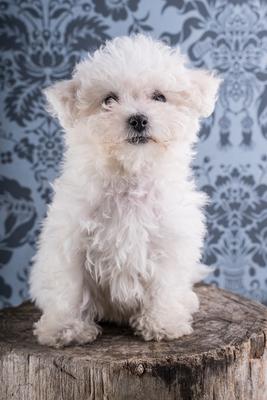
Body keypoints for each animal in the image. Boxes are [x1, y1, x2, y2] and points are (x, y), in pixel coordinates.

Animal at [29, 34, 222, 346]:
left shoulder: (168, 241)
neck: (130, 176)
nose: (138, 119)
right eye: (109, 99)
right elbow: (69, 287)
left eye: (159, 97)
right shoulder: (70, 240)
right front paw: (66, 329)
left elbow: (164, 285)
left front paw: (162, 324)